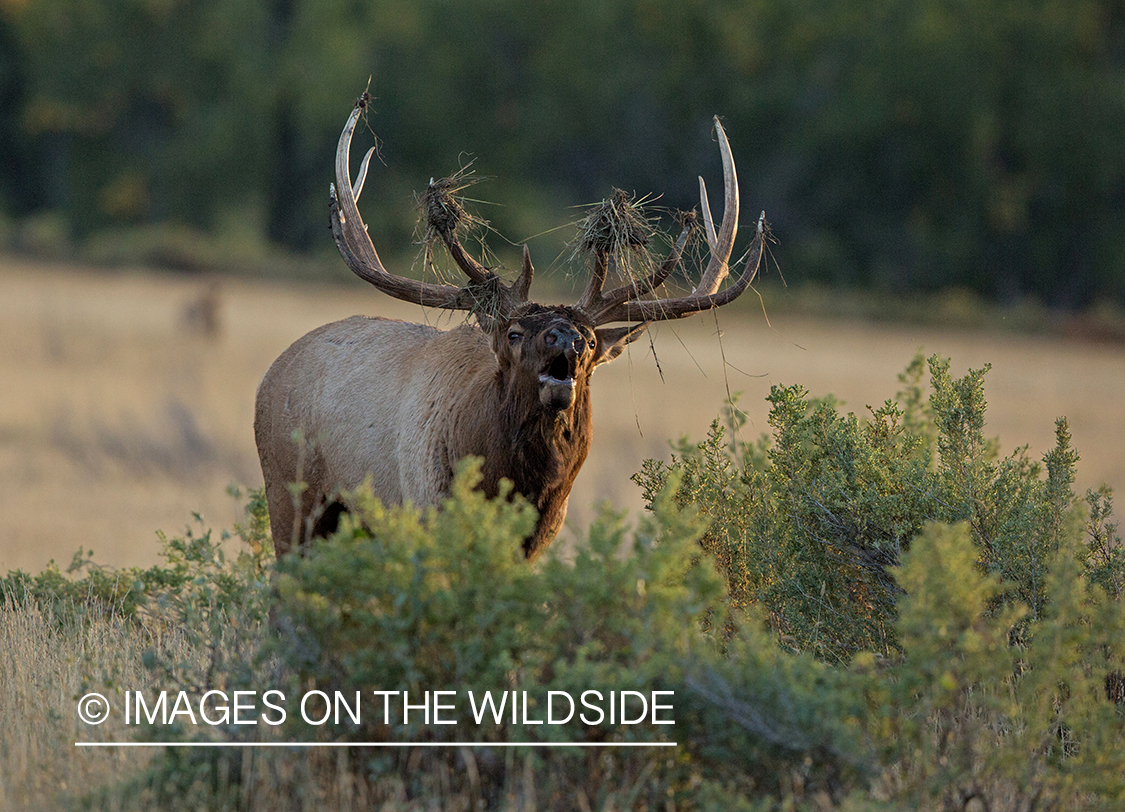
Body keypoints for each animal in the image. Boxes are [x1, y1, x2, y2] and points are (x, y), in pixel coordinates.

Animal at [255, 96, 765, 557]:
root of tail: (270, 373)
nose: (566, 339)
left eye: (592, 342)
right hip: (289, 496)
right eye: (515, 334)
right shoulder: (424, 509)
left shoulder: (539, 543)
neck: (512, 487)